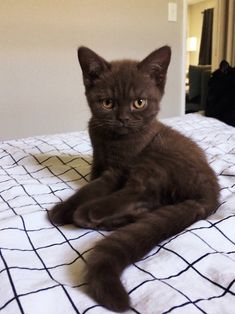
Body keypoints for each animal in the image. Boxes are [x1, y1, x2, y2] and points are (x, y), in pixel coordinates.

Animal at [49, 46, 220, 312]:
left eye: (139, 103)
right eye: (107, 102)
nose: (123, 118)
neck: (110, 139)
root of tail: (212, 193)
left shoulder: (119, 170)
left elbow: (94, 189)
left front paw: (69, 209)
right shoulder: (98, 162)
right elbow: (90, 185)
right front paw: (66, 208)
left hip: (156, 156)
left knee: (142, 192)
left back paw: (89, 214)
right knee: (150, 204)